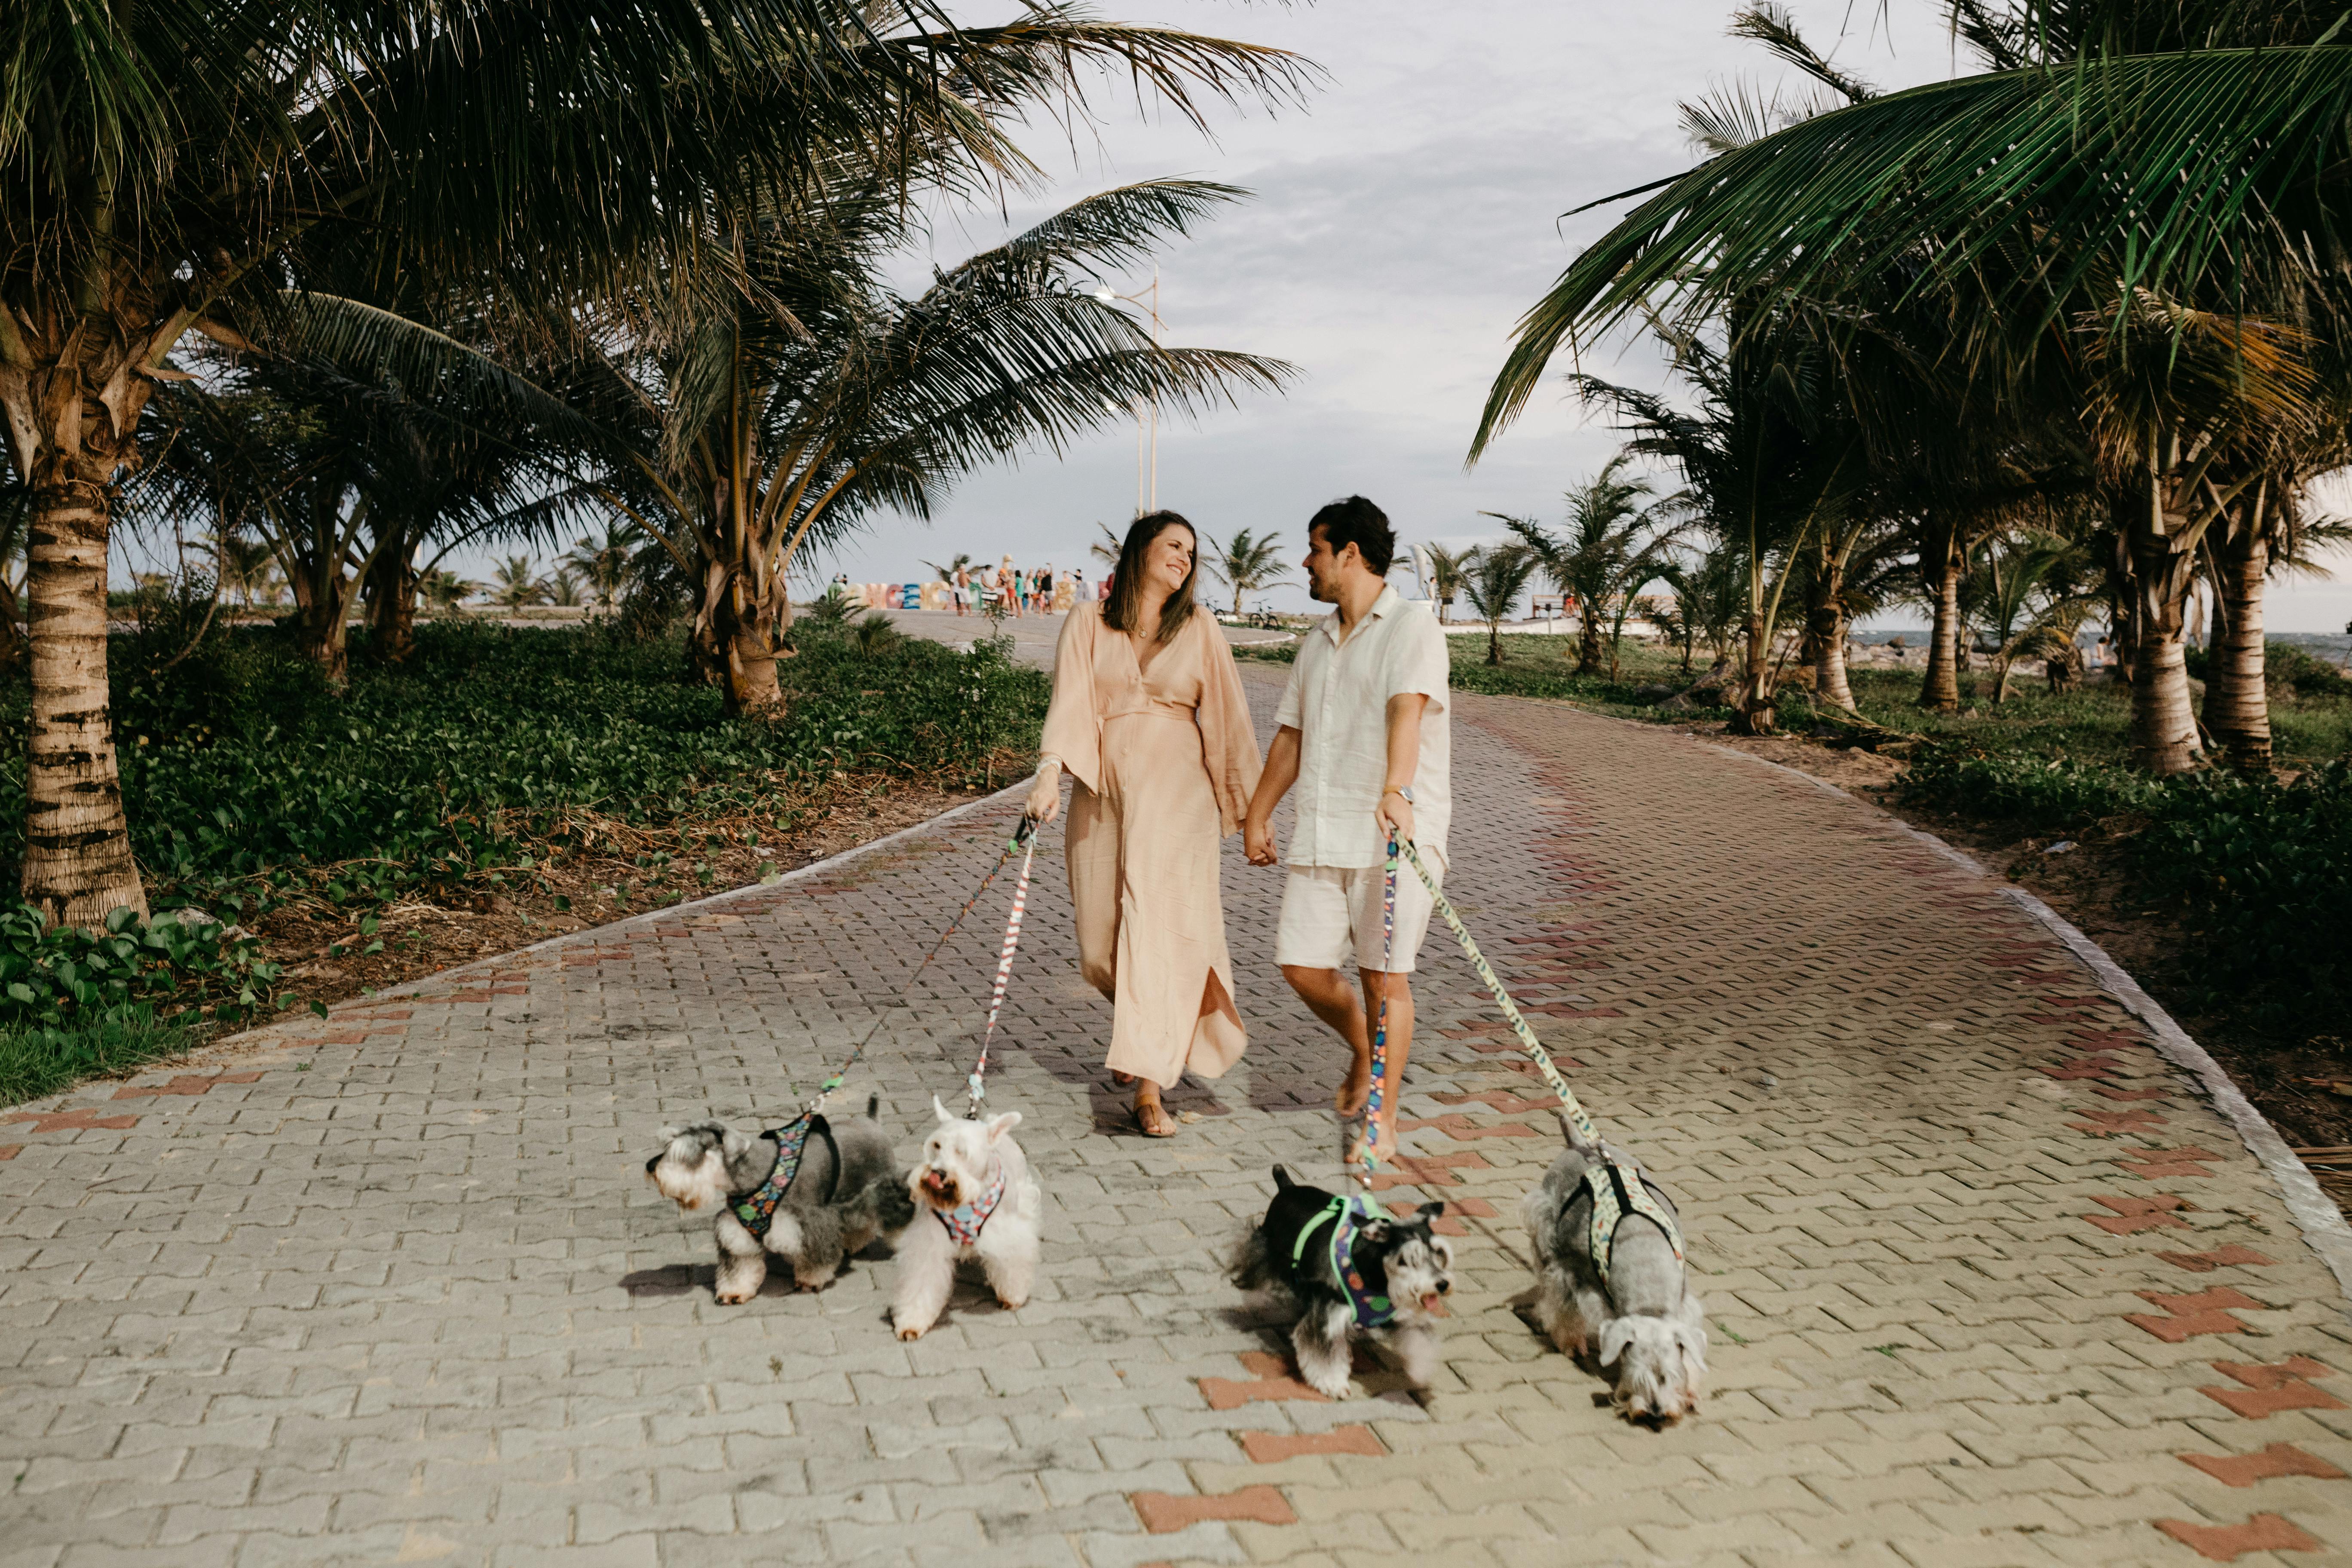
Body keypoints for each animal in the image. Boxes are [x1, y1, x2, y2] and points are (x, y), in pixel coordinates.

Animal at [649, 1100, 913, 1307]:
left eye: (689, 1153)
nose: (650, 1167)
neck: (753, 1177)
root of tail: (873, 1122)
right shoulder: (736, 1232)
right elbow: (740, 1266)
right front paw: (734, 1291)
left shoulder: (807, 1223)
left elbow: (815, 1257)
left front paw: (811, 1280)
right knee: (861, 1219)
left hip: (886, 1188)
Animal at [889, 1100, 1039, 1344]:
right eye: (937, 1145)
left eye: (962, 1151)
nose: (938, 1173)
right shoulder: (928, 1244)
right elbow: (921, 1283)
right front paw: (912, 1321)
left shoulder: (1008, 1236)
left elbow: (1012, 1265)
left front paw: (1013, 1295)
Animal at [1232, 1166, 1449, 1401]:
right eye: (1407, 1259)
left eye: (1438, 1252)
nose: (1442, 1284)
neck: (1378, 1280)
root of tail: (1287, 1186)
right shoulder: (1329, 1317)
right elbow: (1325, 1355)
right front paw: (1333, 1384)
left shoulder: (1402, 1315)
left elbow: (1420, 1338)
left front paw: (1422, 1370)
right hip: (1268, 1249)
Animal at [1524, 1109, 1712, 1429]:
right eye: (1637, 1378)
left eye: (1670, 1376)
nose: (1655, 1414)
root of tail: (1578, 1145)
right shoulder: (1576, 1278)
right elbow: (1566, 1310)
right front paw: (1571, 1344)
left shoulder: (1685, 1305)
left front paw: (1689, 1393)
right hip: (1546, 1232)